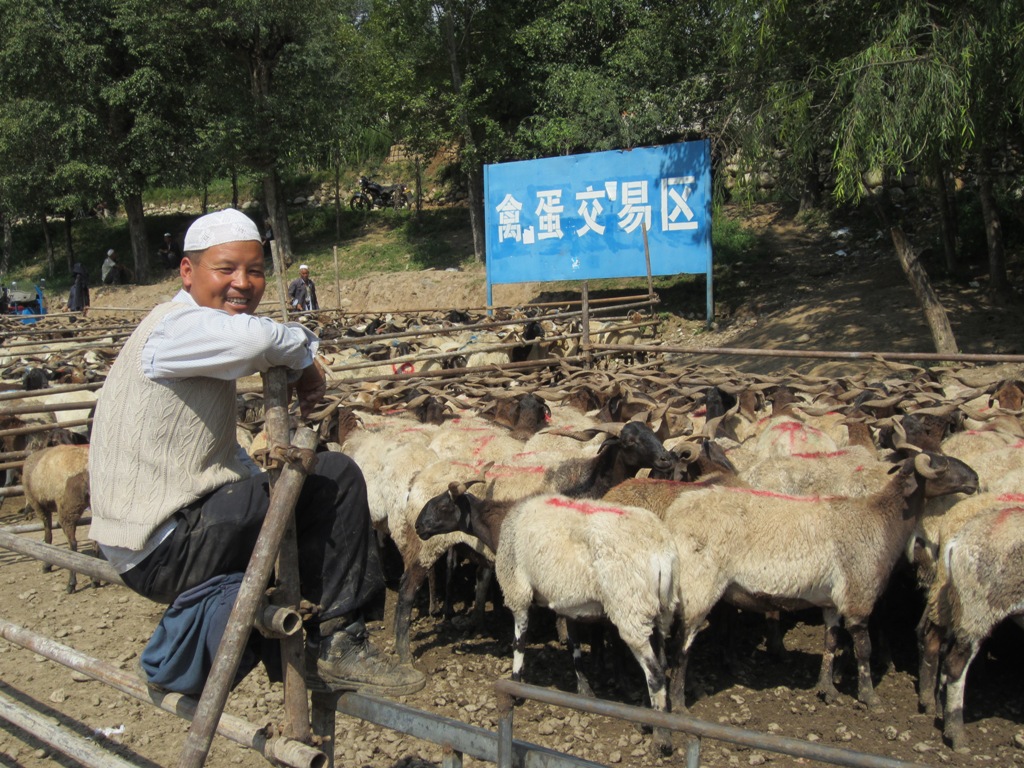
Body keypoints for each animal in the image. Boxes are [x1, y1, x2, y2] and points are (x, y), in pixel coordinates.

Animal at [21, 444, 95, 593]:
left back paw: (71, 584)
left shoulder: (39, 506)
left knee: (73, 544)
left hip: (67, 510)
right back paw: (95, 580)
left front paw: (47, 565)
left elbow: (48, 536)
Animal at [415, 481, 679, 757]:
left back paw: (660, 736)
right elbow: (574, 647)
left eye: (443, 505)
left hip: (630, 606)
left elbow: (519, 643)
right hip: (659, 611)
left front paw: (516, 686)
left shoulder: (518, 586)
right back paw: (652, 719)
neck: (499, 524)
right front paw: (584, 691)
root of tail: (663, 556)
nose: (418, 527)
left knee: (655, 672)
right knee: (662, 663)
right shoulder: (567, 600)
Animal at [659, 454, 978, 712]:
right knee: (681, 647)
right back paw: (679, 702)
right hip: (699, 586)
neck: (881, 520)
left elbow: (831, 642)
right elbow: (864, 648)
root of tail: (674, 516)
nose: (975, 479)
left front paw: (827, 690)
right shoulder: (858, 597)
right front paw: (869, 697)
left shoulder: (832, 603)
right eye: (942, 464)